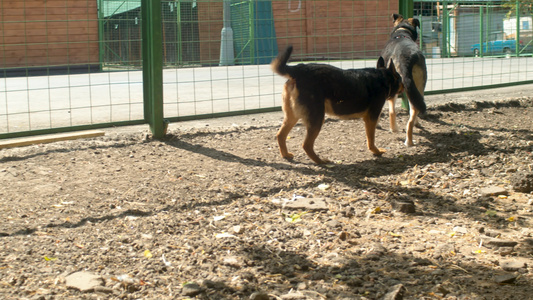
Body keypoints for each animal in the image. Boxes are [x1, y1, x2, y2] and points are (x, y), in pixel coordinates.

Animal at [270, 45, 400, 165]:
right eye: (400, 79)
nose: (404, 85)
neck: (382, 77)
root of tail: (298, 70)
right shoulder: (371, 118)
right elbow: (371, 140)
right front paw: (376, 152)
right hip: (317, 119)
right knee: (306, 145)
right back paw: (321, 161)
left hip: (292, 117)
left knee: (280, 135)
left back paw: (286, 155)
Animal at [380, 12, 426, 146]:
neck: (402, 33)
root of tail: (408, 58)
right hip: (418, 87)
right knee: (413, 113)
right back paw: (409, 140)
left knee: (392, 111)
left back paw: (394, 130)